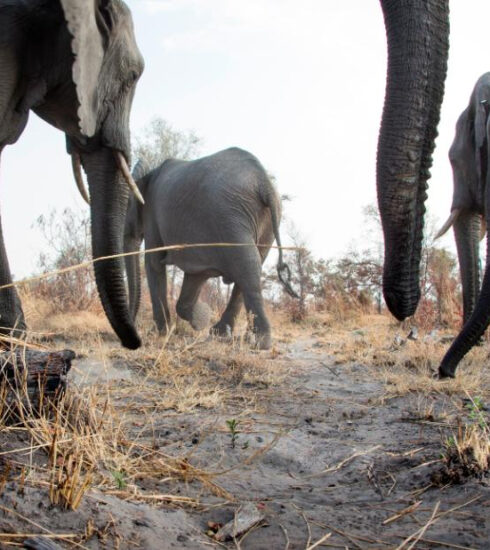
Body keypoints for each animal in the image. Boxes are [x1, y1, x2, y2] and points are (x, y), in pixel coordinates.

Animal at [124, 149, 296, 352]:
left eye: (126, 207)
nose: (133, 325)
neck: (149, 172)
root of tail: (263, 182)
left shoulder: (152, 213)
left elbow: (153, 263)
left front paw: (160, 333)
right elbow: (196, 275)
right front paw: (202, 319)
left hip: (230, 215)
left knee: (247, 267)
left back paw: (259, 342)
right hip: (261, 220)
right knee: (252, 266)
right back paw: (224, 334)